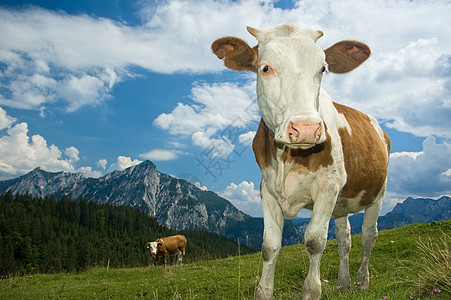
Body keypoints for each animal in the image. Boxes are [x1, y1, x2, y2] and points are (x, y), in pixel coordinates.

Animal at [214, 24, 390, 300]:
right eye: (265, 67)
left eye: (323, 68)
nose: (306, 129)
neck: (289, 157)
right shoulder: (267, 189)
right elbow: (269, 245)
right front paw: (263, 291)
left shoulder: (328, 187)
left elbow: (315, 241)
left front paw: (311, 290)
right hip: (341, 204)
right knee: (345, 238)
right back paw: (344, 283)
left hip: (377, 193)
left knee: (369, 236)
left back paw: (362, 281)